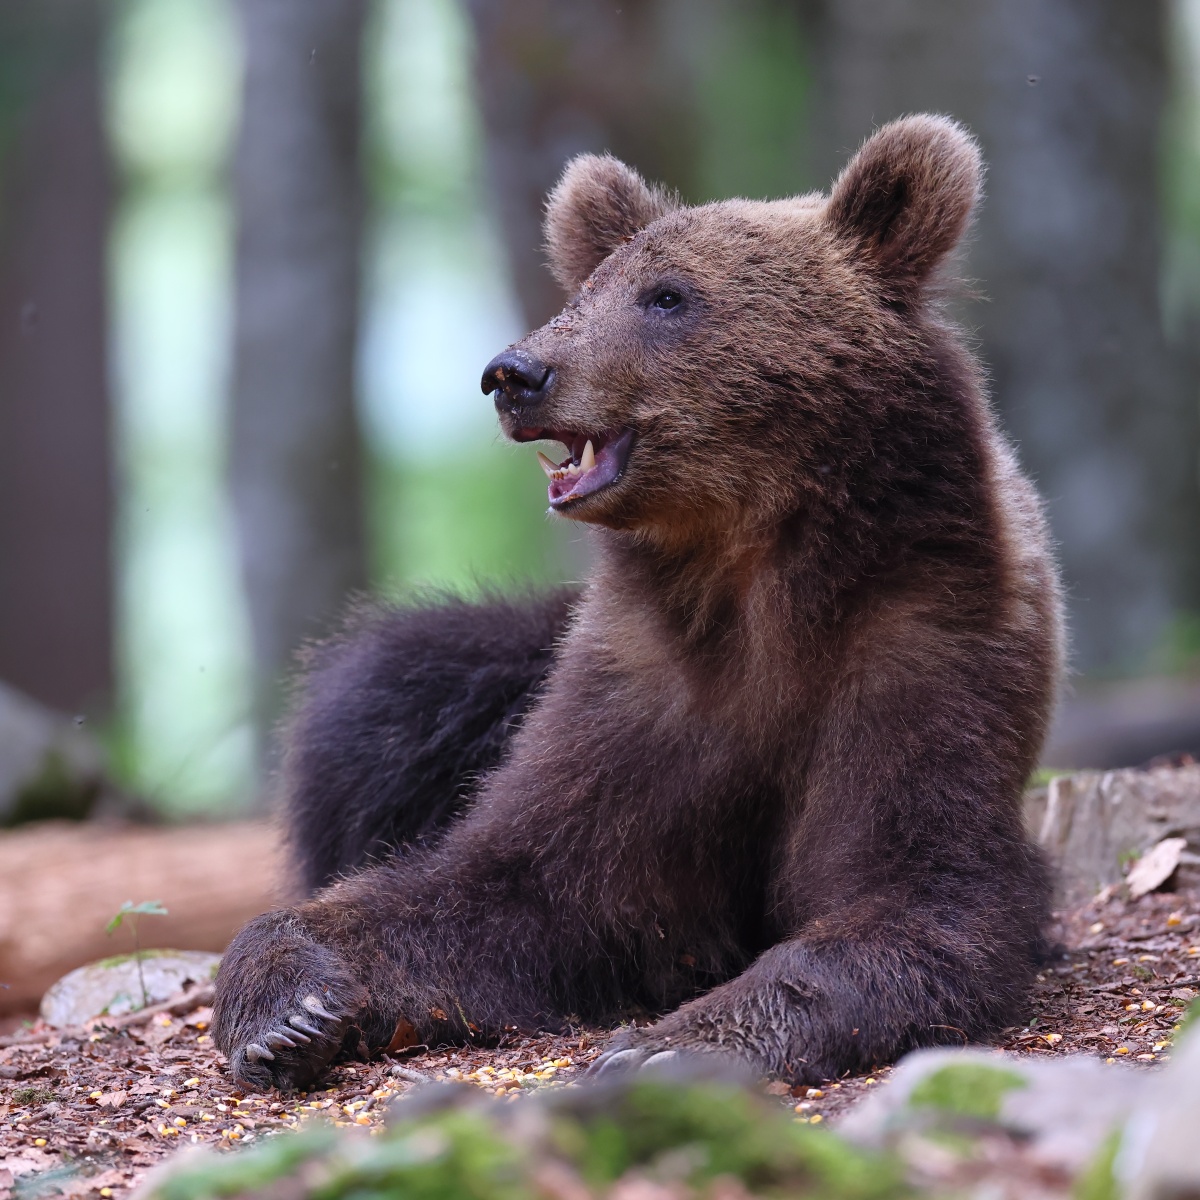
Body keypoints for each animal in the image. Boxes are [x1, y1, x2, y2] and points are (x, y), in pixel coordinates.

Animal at [212, 113, 1064, 1093]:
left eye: (668, 296)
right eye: (591, 286)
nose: (515, 372)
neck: (757, 578)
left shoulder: (916, 655)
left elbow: (917, 896)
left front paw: (672, 1040)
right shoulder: (642, 688)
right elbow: (510, 885)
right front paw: (286, 1000)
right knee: (380, 699)